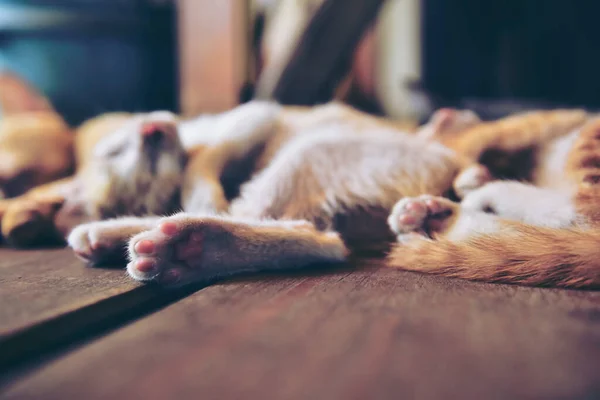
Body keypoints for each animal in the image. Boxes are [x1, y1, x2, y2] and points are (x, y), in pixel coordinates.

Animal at [384, 107, 600, 288]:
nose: (445, 113)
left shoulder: (500, 130)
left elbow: (467, 155)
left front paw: (473, 178)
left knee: (585, 208)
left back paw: (485, 196)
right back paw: (438, 222)